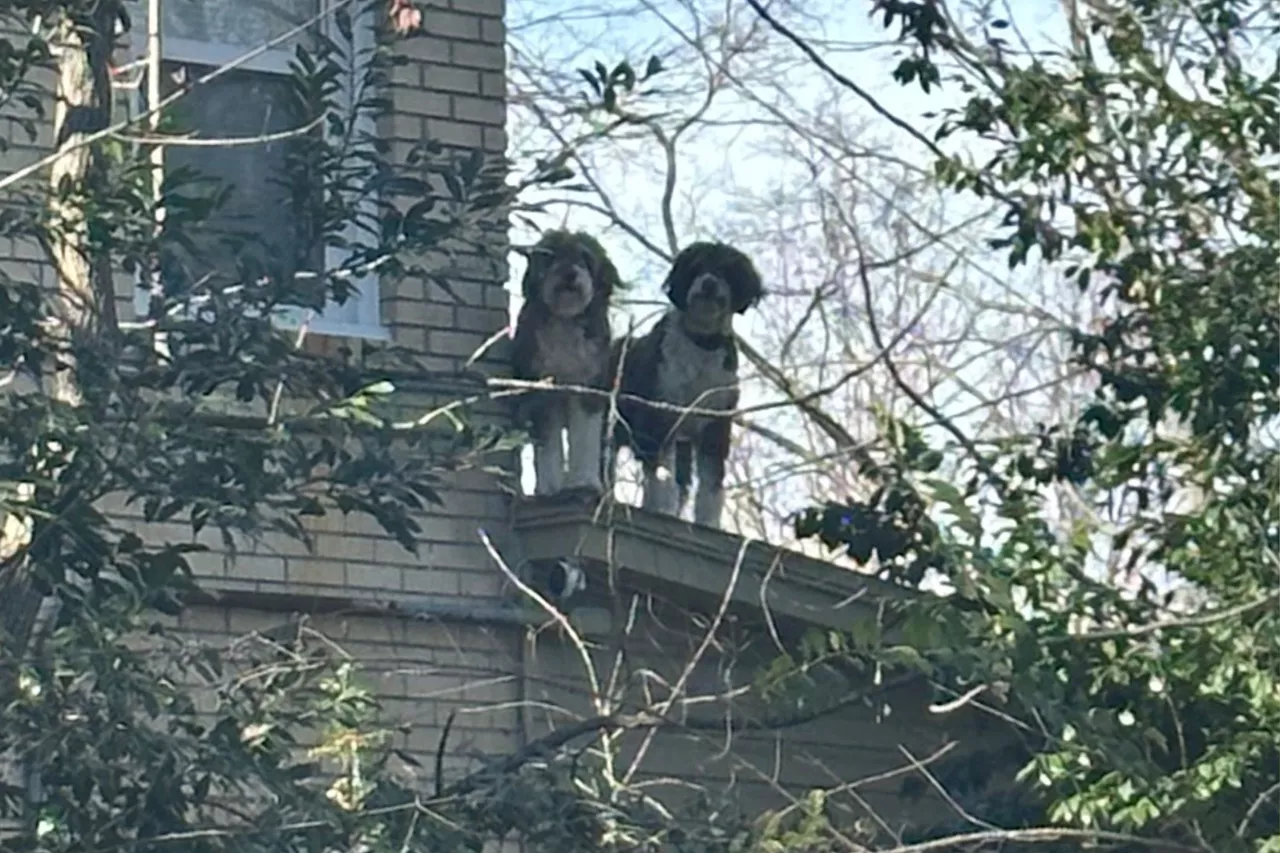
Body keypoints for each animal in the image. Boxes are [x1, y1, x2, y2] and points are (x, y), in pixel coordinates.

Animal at [509, 229, 619, 494]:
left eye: (584, 258)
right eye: (551, 257)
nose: (569, 273)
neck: (565, 320)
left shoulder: (588, 390)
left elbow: (584, 437)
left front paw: (585, 481)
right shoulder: (541, 394)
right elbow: (548, 445)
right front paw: (550, 487)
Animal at [606, 239, 757, 525]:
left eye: (725, 269)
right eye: (697, 266)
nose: (708, 282)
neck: (701, 342)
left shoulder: (715, 426)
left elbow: (710, 485)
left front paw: (709, 524)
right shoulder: (660, 418)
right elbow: (663, 481)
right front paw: (662, 512)